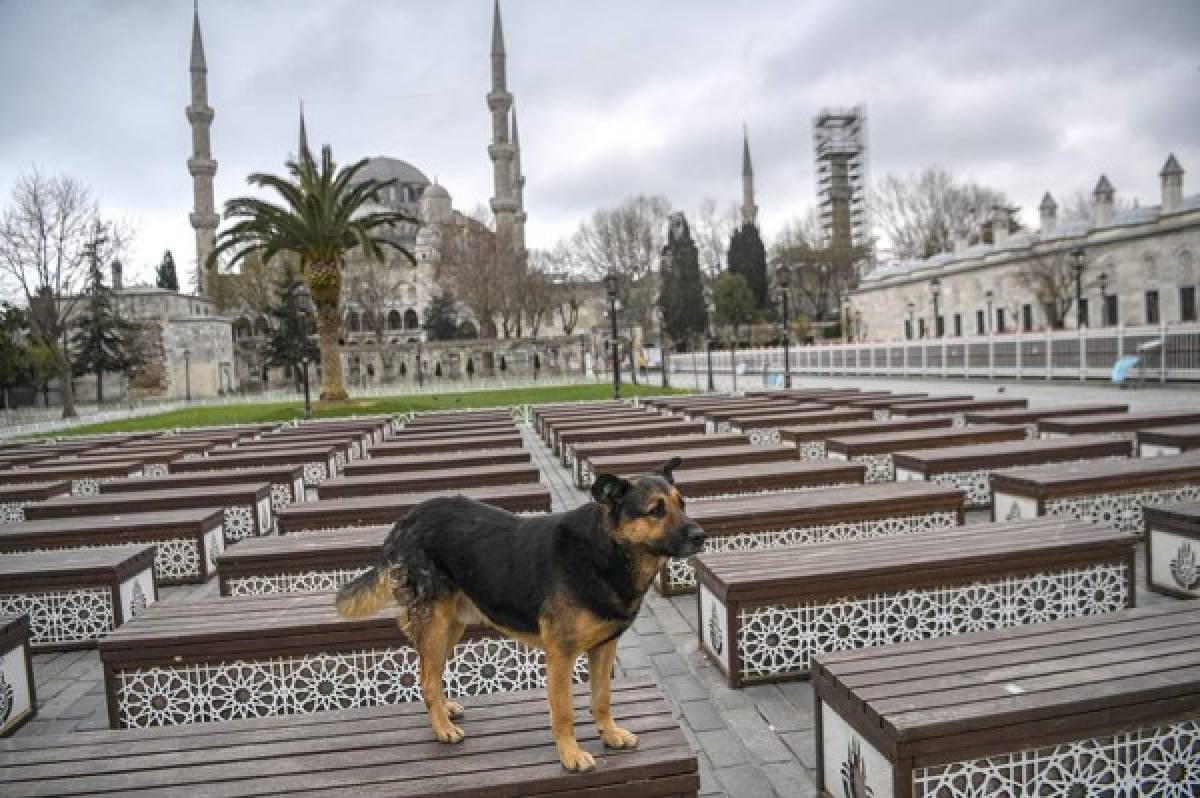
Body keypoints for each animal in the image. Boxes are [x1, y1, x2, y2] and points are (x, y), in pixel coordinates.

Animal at [336, 458, 700, 768]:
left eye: (682, 504)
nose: (701, 536)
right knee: (427, 676)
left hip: (451, 625)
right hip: (435, 622)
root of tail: (407, 518)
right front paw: (570, 754)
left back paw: (444, 710)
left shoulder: (604, 649)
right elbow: (564, 712)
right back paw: (441, 728)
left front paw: (609, 735)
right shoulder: (561, 656)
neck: (604, 551)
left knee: (432, 672)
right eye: (656, 511)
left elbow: (602, 699)